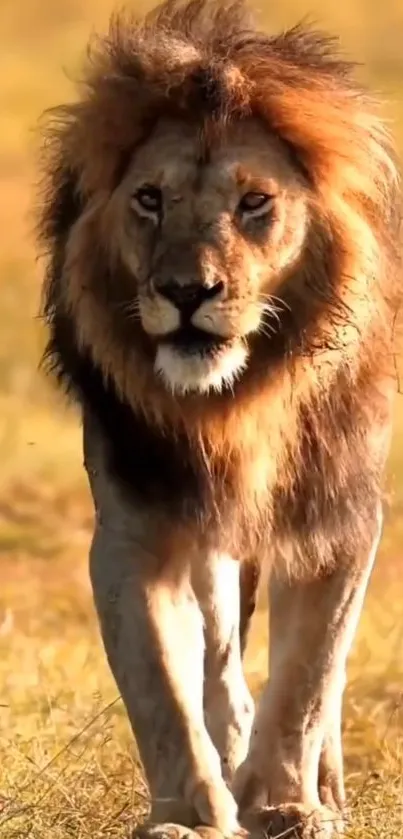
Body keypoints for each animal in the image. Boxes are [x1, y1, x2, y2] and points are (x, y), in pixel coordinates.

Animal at [37, 1, 400, 839]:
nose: (184, 291)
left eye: (254, 203)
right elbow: (161, 686)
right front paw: (192, 815)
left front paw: (288, 802)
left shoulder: (339, 514)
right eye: (149, 199)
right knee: (220, 650)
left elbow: (308, 675)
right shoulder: (138, 524)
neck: (236, 405)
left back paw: (322, 782)